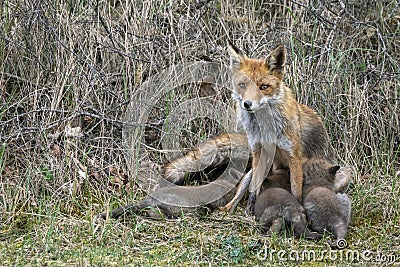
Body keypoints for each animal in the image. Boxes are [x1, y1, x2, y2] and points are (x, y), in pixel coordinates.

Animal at [165, 42, 334, 214]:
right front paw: (250, 210)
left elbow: (295, 191)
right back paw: (226, 209)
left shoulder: (294, 157)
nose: (247, 104)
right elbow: (254, 190)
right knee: (237, 196)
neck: (266, 129)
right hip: (249, 173)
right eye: (242, 85)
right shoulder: (259, 152)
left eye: (263, 87)